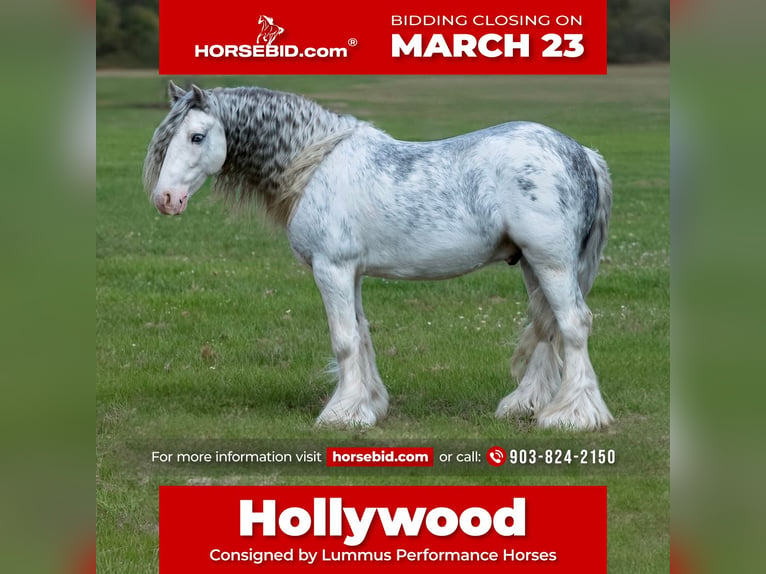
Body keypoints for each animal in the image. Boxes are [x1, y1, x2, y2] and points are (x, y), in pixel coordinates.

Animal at [143, 81, 614, 430]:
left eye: (197, 136)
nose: (165, 199)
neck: (315, 164)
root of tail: (581, 153)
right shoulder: (349, 272)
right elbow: (362, 334)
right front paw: (366, 404)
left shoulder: (331, 268)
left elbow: (344, 339)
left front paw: (340, 414)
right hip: (534, 265)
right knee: (547, 327)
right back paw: (527, 405)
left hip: (551, 263)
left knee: (573, 325)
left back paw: (571, 416)